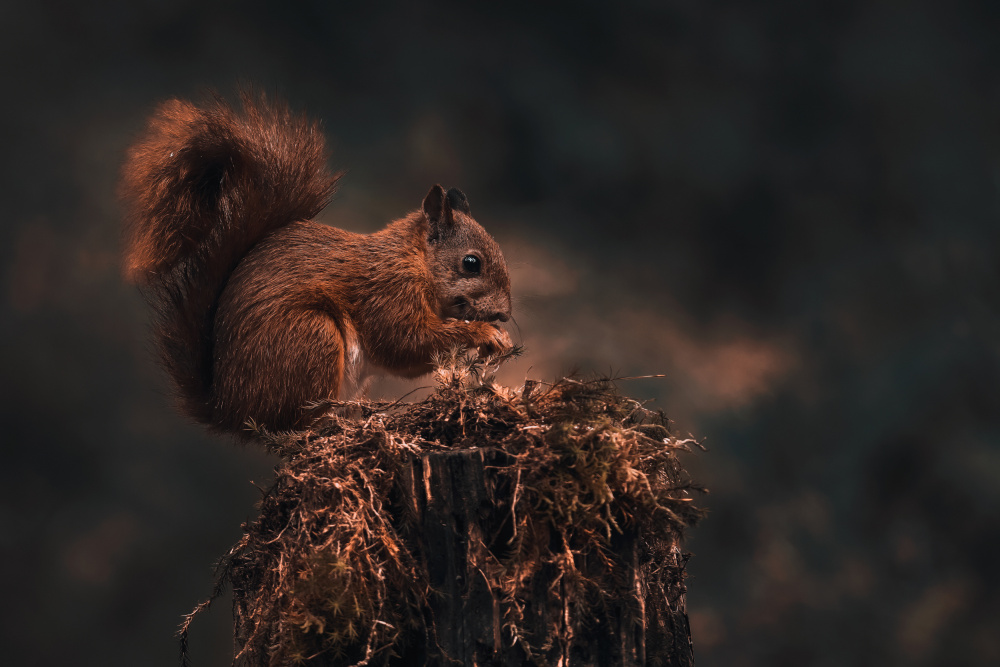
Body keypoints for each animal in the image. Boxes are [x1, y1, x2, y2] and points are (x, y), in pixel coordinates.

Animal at [121, 96, 516, 436]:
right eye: (471, 263)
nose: (505, 314)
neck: (415, 260)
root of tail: (228, 409)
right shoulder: (387, 291)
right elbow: (404, 342)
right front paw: (485, 334)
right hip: (311, 336)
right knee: (294, 423)